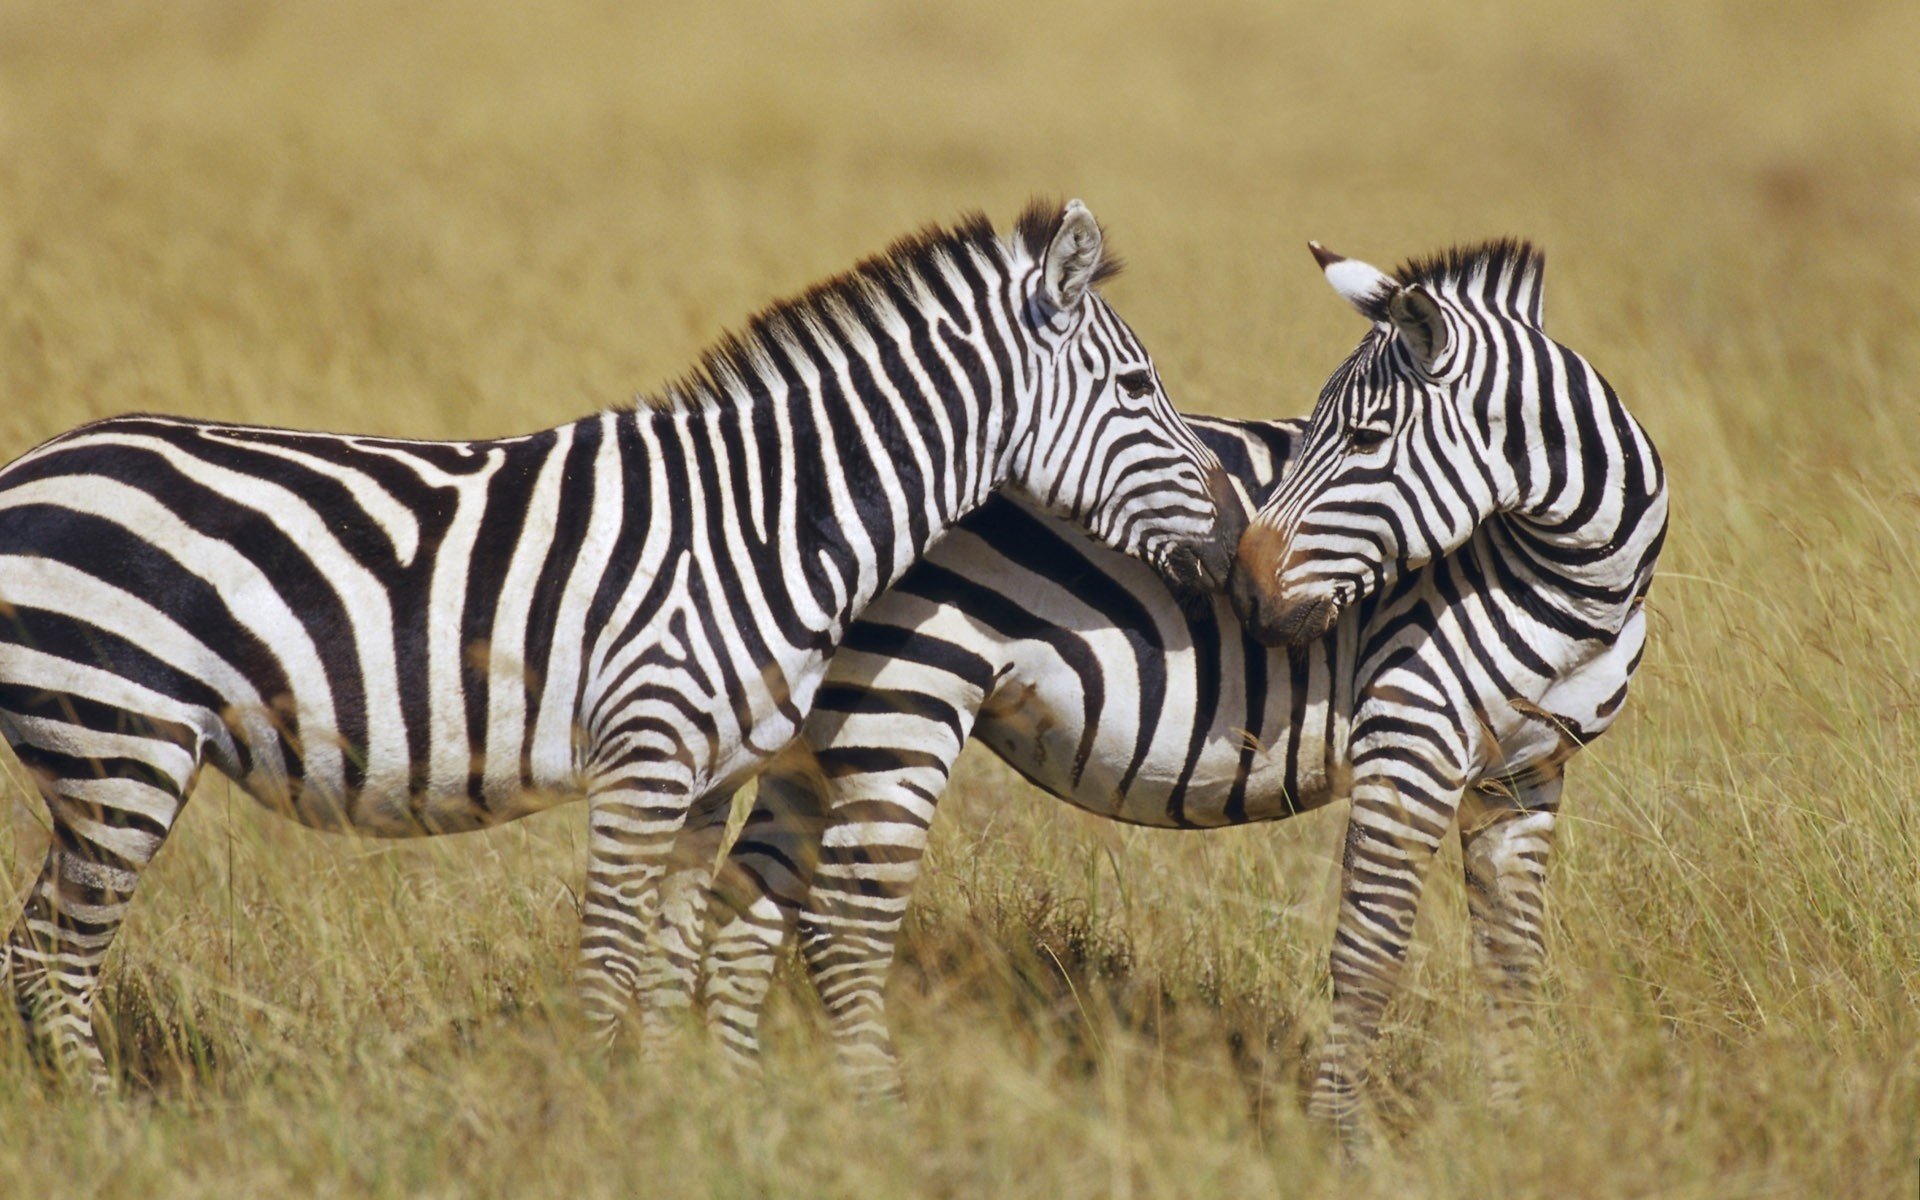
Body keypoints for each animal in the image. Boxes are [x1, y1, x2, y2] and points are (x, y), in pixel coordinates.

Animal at [0, 199, 1248, 1087]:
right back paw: (107, 1129)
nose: (1242, 535)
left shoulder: (712, 775)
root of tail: (31, 469)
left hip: (100, 760)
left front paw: (669, 1113)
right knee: (57, 957)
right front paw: (614, 1123)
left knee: (33, 950)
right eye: (1138, 384)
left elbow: (670, 962)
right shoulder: (644, 757)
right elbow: (609, 962)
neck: (768, 519)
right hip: (122, 746)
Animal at [691, 238, 1667, 1144]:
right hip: (904, 690)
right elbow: (1371, 950)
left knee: (749, 900)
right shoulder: (1411, 738)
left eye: (1364, 440)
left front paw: (1513, 1129)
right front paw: (1342, 1141)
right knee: (842, 925)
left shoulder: (1525, 775)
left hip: (817, 728)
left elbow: (1514, 964)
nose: (1247, 590)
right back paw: (885, 1126)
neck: (1578, 583)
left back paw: (742, 1102)